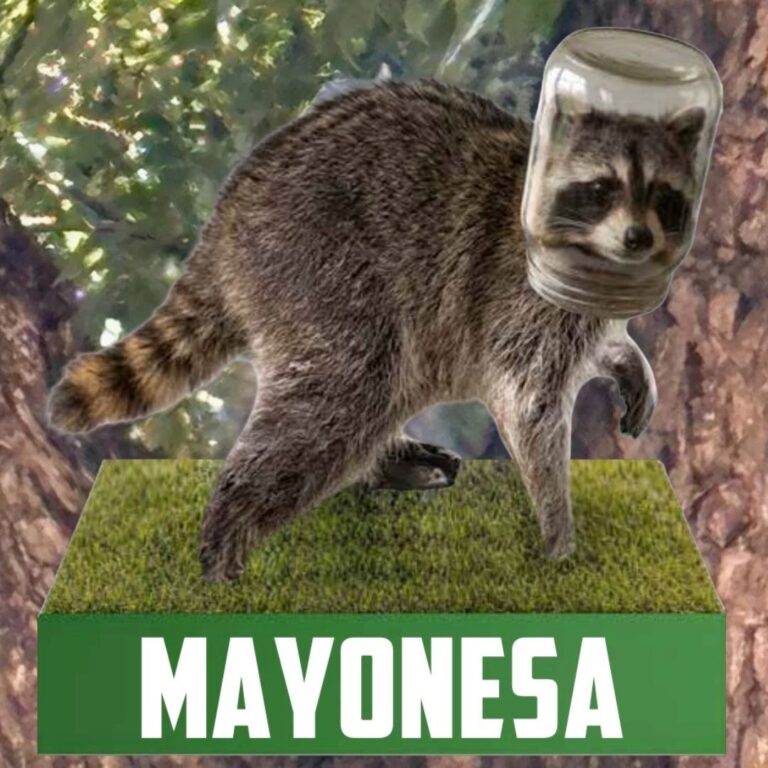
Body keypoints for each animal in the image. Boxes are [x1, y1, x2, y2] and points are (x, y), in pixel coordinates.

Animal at [48, 81, 702, 582]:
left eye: (664, 194)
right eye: (603, 189)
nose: (638, 239)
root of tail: (225, 221)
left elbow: (597, 344)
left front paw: (626, 360)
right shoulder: (523, 294)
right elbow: (530, 405)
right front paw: (558, 536)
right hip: (319, 269)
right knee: (343, 394)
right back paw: (232, 525)